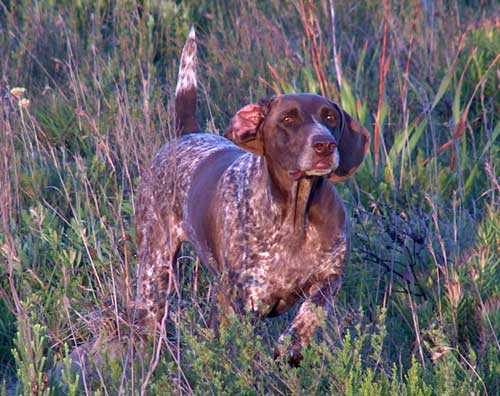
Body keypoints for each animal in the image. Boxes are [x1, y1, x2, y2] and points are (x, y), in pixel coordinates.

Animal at [135, 27, 370, 362]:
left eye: (330, 118)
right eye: (288, 119)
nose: (325, 144)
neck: (295, 214)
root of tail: (187, 136)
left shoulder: (330, 278)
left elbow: (311, 313)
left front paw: (291, 345)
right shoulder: (238, 299)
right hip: (155, 268)